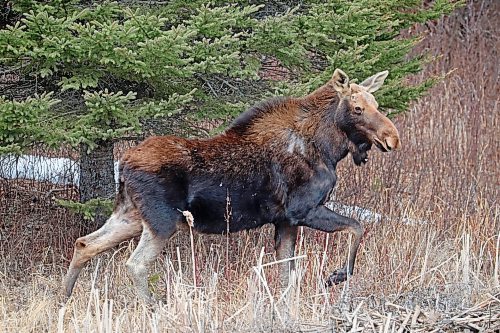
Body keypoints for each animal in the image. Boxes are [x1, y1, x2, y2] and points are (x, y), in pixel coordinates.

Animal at [64, 68, 402, 300]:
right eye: (357, 108)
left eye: (376, 103)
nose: (392, 137)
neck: (329, 149)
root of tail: (123, 163)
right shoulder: (303, 210)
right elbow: (358, 227)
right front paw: (336, 275)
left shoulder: (284, 221)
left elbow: (288, 276)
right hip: (162, 220)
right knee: (134, 264)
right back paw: (152, 307)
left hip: (132, 215)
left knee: (85, 244)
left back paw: (62, 301)